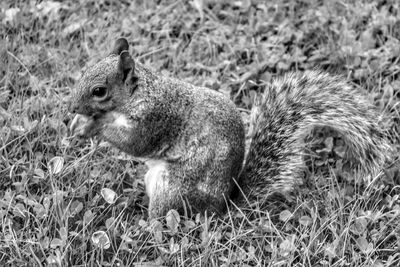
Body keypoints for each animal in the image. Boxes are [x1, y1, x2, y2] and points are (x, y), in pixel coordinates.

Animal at [68, 37, 390, 218]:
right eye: (82, 72)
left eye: (99, 91)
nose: (71, 107)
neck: (138, 94)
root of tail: (224, 205)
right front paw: (78, 124)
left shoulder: (155, 118)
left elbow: (134, 142)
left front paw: (93, 125)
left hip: (172, 187)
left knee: (164, 218)